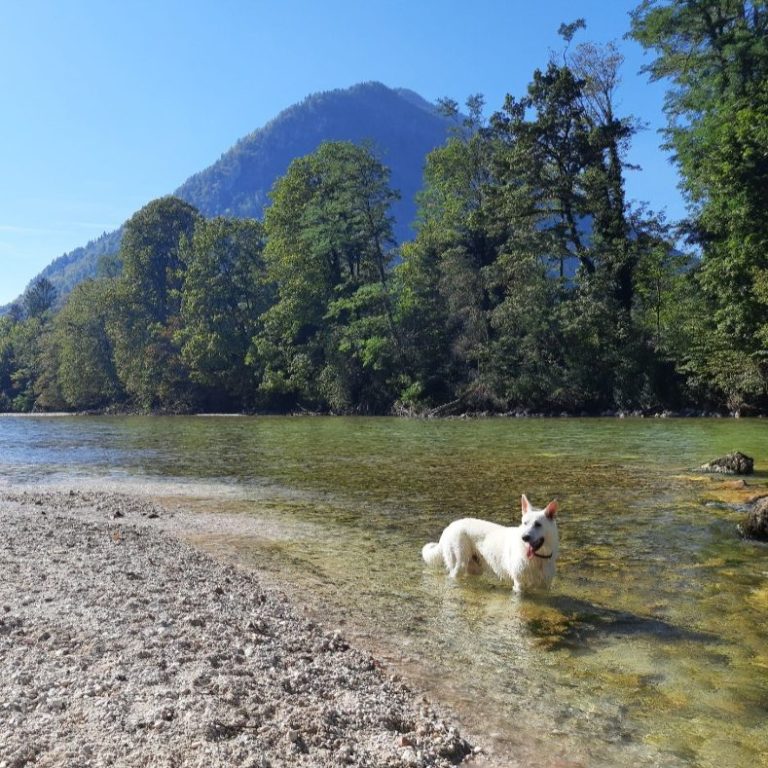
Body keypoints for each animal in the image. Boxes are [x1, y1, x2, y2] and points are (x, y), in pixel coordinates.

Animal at [420, 496, 560, 596]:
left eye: (538, 524)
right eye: (525, 523)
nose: (524, 537)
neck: (538, 558)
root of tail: (449, 526)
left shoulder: (544, 586)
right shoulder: (519, 585)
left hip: (475, 568)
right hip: (459, 564)